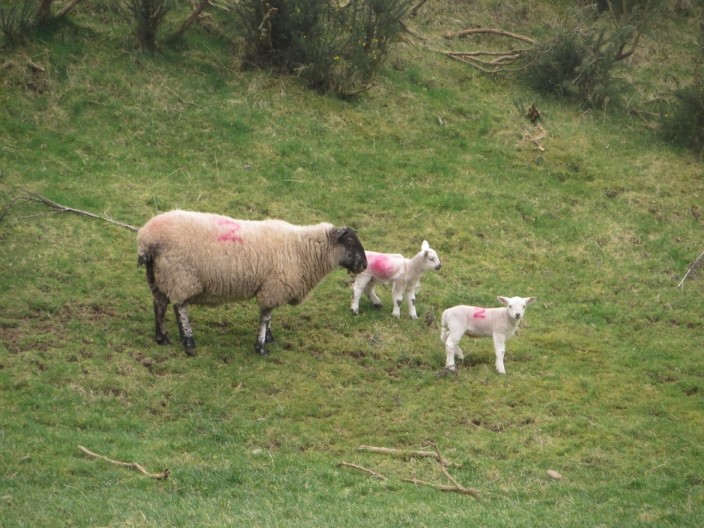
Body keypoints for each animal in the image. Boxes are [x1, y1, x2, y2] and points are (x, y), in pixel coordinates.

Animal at [136, 209, 368, 354]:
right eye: (349, 242)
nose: (364, 265)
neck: (303, 249)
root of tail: (147, 237)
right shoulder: (274, 287)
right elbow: (265, 317)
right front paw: (261, 346)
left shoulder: (271, 286)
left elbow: (269, 315)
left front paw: (269, 338)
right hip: (181, 276)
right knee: (180, 307)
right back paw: (188, 342)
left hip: (158, 276)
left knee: (159, 304)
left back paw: (162, 338)